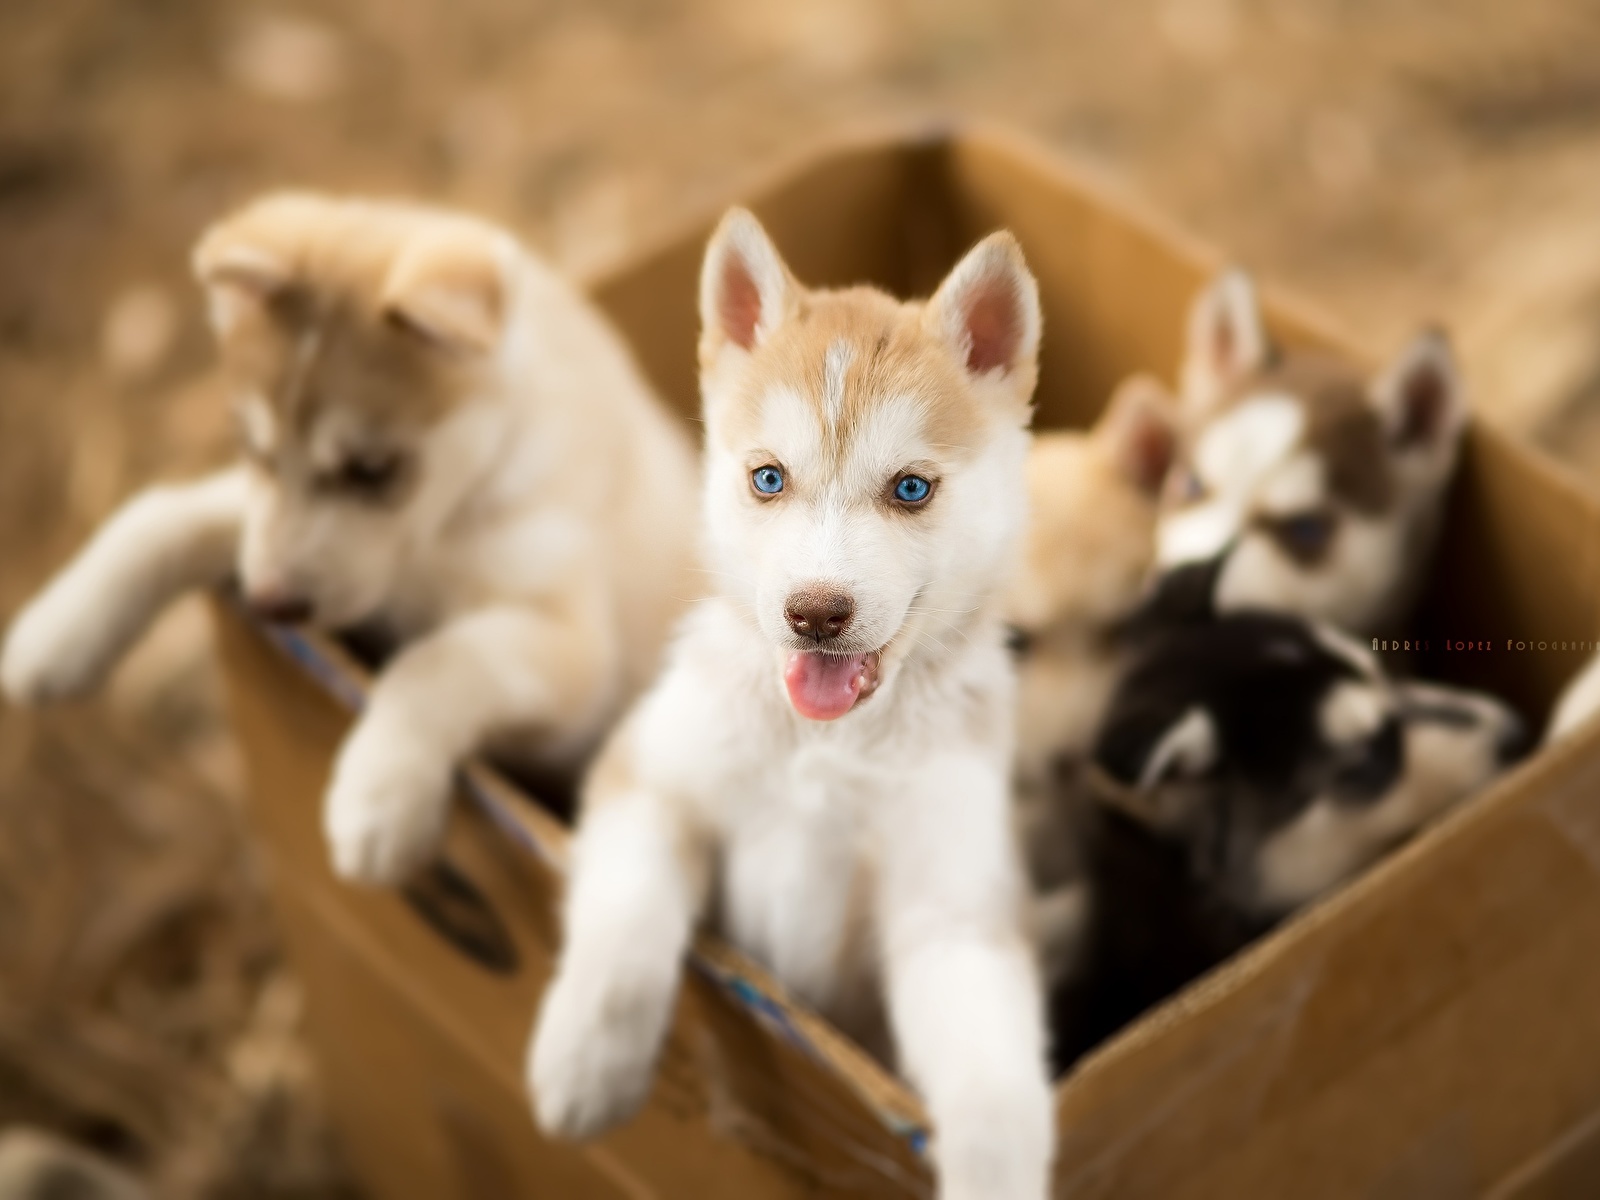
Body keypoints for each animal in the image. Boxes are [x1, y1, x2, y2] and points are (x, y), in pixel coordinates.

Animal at [3, 195, 697, 883]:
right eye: (255, 449)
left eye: (371, 469)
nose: (269, 606)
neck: (440, 528)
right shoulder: (268, 526)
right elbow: (165, 515)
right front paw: (55, 633)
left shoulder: (570, 648)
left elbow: (435, 660)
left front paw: (378, 796)